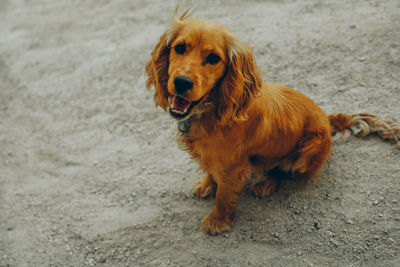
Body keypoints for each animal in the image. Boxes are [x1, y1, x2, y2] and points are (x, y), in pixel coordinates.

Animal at [145, 8, 400, 236]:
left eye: (213, 58)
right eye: (179, 48)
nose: (181, 82)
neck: (211, 111)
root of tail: (328, 121)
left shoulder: (233, 167)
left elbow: (224, 196)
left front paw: (217, 221)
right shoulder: (212, 158)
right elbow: (210, 171)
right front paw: (207, 184)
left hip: (309, 149)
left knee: (284, 170)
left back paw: (266, 183)